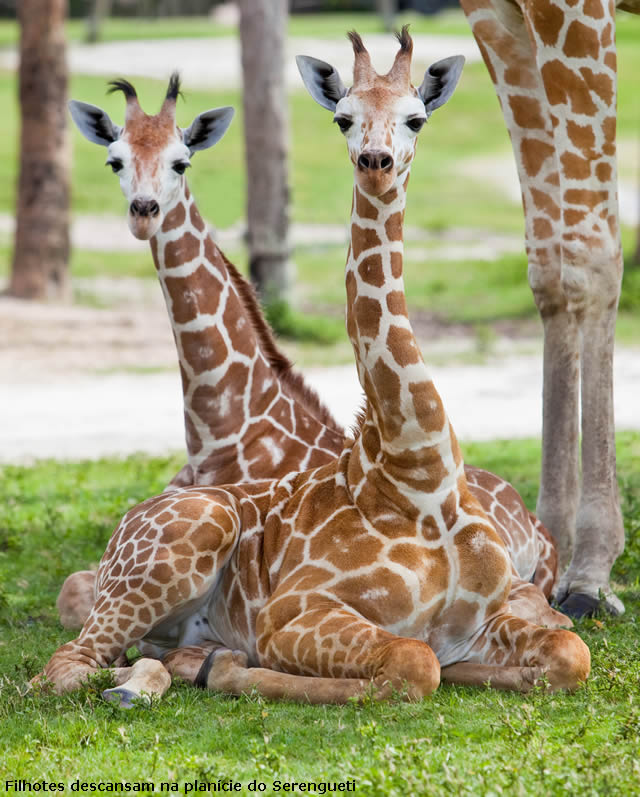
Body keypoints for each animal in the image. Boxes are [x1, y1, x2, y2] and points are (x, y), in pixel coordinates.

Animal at [36, 31, 592, 704]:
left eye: (416, 117)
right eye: (342, 117)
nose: (376, 161)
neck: (418, 473)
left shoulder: (486, 617)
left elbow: (568, 651)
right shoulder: (291, 615)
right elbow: (413, 665)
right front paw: (235, 668)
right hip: (181, 543)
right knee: (64, 669)